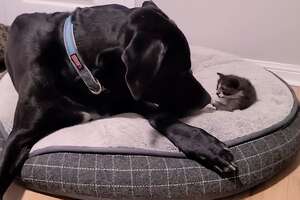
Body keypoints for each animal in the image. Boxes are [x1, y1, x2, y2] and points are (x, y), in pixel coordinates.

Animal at [0, 1, 237, 197]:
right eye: (180, 69)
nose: (207, 98)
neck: (78, 67)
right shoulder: (19, 135)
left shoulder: (126, 95)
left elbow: (160, 116)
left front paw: (206, 147)